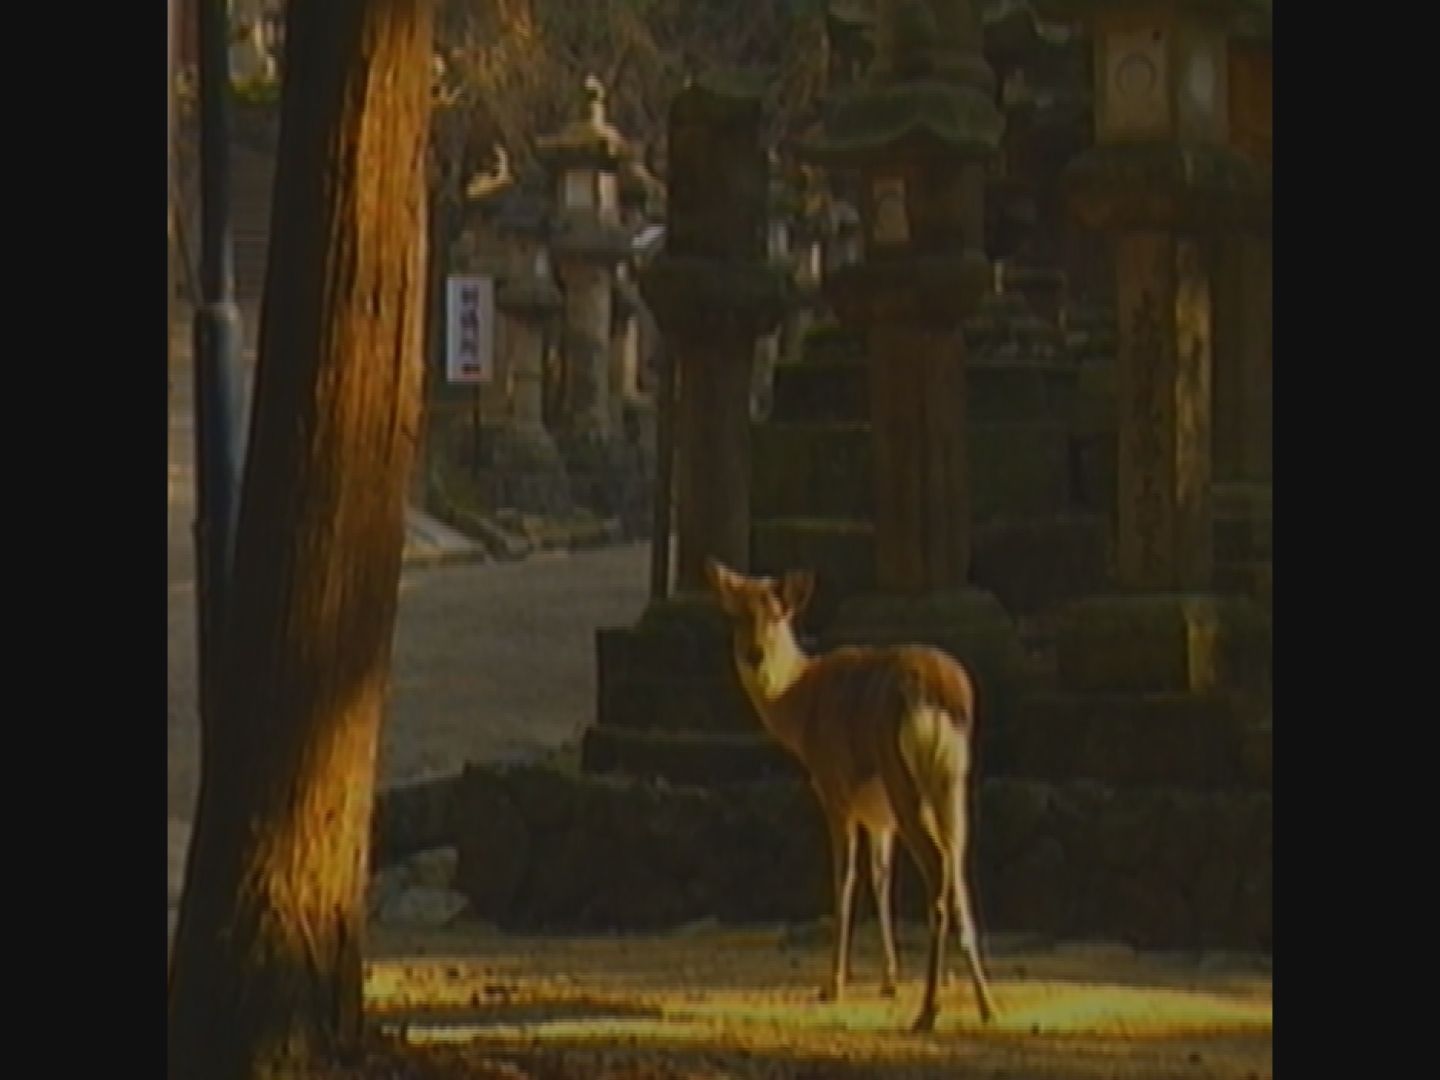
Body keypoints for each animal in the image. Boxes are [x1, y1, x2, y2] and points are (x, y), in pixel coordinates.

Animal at [702, 561, 996, 1036]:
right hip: (952, 785)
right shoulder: (878, 816)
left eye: (777, 615)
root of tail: (939, 692)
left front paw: (833, 985)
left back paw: (928, 1010)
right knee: (958, 870)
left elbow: (846, 879)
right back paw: (987, 1005)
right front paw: (889, 981)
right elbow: (881, 878)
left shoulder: (835, 790)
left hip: (903, 778)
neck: (799, 707)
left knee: (937, 867)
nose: (755, 655)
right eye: (738, 615)